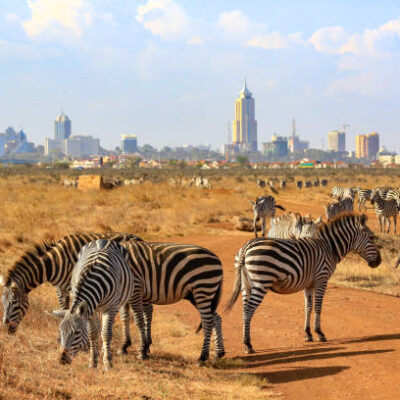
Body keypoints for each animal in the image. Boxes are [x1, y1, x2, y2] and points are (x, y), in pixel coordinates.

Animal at [0, 231, 142, 340]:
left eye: (14, 302)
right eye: (2, 303)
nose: (7, 330)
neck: (54, 263)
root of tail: (138, 238)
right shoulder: (60, 288)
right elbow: (63, 308)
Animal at [49, 239, 145, 370]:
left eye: (77, 332)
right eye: (61, 331)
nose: (62, 360)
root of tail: (104, 240)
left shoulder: (111, 308)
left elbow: (106, 334)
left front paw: (107, 362)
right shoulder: (90, 309)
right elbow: (92, 333)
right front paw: (92, 361)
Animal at [227, 212, 380, 354]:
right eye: (372, 237)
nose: (379, 262)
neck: (329, 248)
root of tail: (246, 248)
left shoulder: (309, 284)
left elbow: (308, 307)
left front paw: (308, 334)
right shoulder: (321, 279)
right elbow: (318, 307)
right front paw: (319, 333)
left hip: (246, 285)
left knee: (244, 309)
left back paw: (246, 342)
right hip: (261, 282)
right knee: (248, 310)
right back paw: (248, 345)